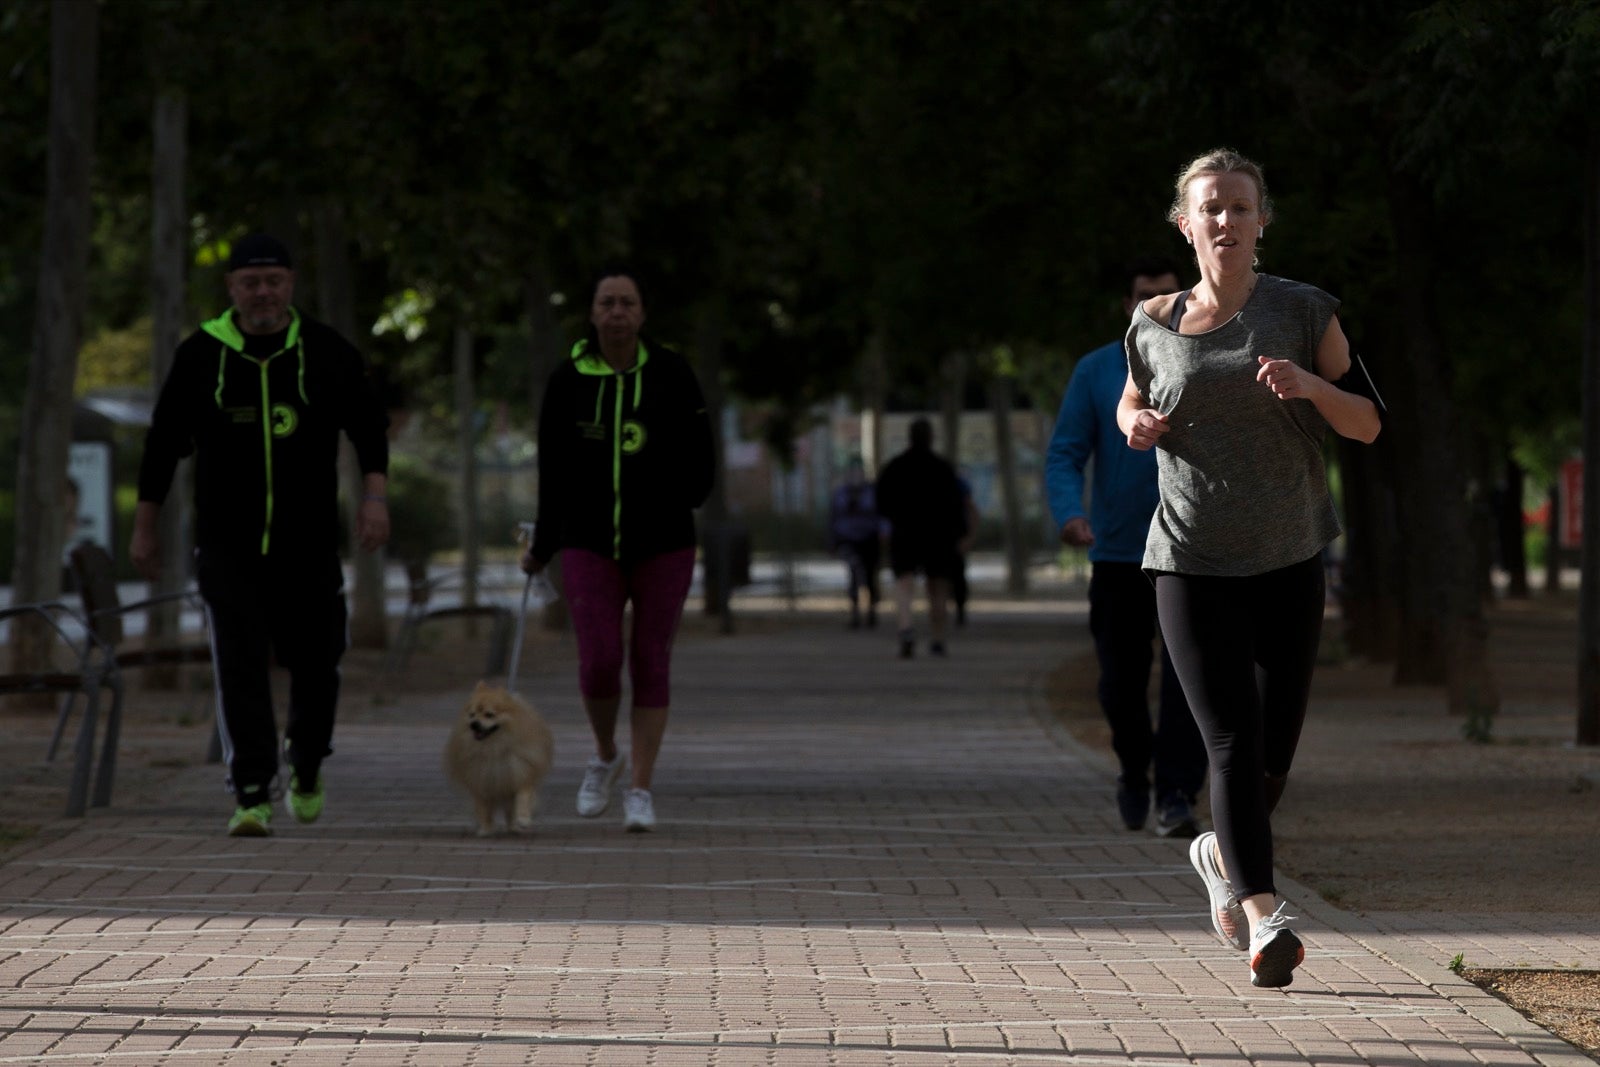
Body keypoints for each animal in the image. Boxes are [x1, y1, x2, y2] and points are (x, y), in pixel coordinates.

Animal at [444, 681, 556, 838]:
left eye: (489, 714)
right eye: (472, 714)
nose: (474, 724)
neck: (494, 748)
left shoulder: (520, 774)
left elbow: (523, 797)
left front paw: (523, 819)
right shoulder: (480, 780)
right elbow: (483, 808)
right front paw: (485, 829)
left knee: (510, 810)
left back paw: (514, 827)